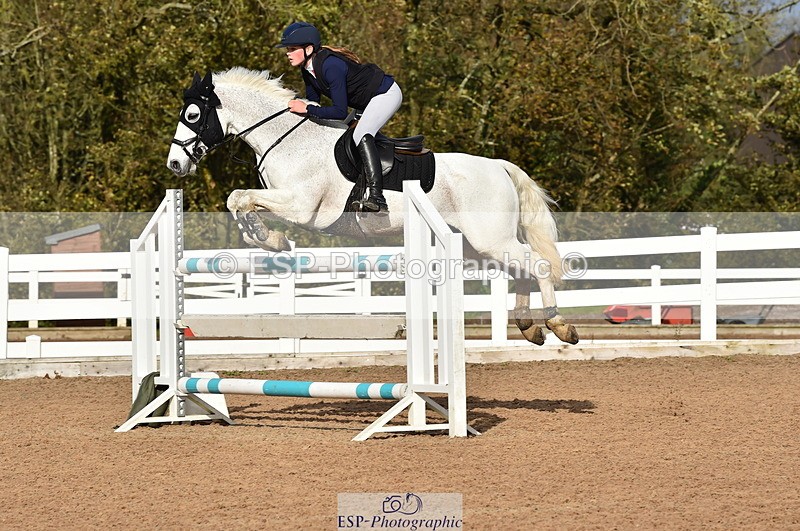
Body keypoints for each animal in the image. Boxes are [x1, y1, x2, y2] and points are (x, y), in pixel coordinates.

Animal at [166, 68, 579, 345]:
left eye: (193, 115)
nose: (175, 165)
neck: (287, 140)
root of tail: (499, 167)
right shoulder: (282, 201)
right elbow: (239, 201)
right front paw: (268, 239)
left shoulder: (301, 207)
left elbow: (239, 196)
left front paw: (272, 240)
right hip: (476, 246)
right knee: (521, 269)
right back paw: (528, 327)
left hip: (489, 238)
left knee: (537, 265)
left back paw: (559, 325)